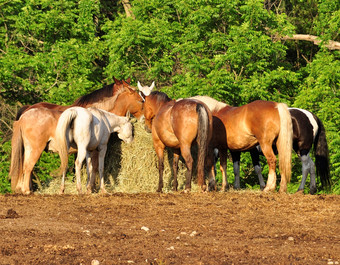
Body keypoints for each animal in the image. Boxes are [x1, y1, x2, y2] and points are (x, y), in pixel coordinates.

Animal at [9, 77, 144, 193]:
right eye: (140, 100)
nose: (144, 119)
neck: (102, 116)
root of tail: (24, 116)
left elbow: (89, 168)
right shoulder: (97, 149)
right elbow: (95, 167)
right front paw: (91, 188)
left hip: (28, 149)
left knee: (25, 168)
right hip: (36, 149)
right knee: (28, 168)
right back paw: (27, 190)